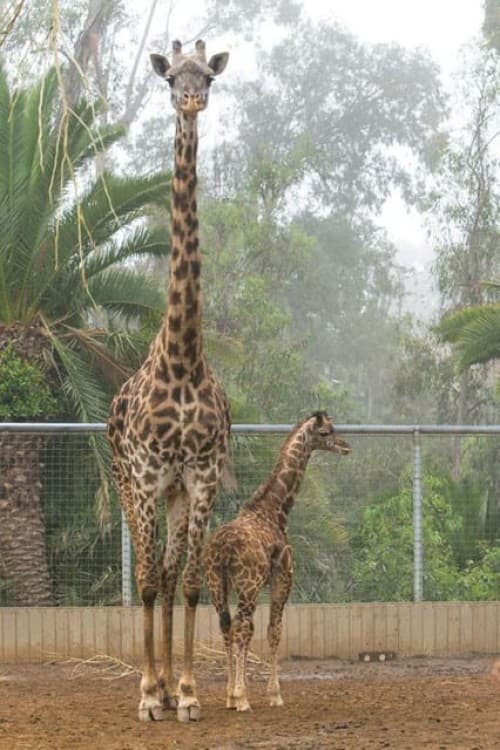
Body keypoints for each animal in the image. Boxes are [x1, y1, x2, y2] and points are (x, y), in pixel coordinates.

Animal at [203, 412, 351, 712]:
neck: (275, 511)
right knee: (241, 627)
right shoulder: (283, 578)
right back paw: (241, 698)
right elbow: (274, 631)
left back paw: (230, 696)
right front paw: (274, 694)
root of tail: (223, 548)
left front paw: (239, 692)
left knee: (227, 625)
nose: (346, 446)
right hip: (247, 586)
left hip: (216, 584)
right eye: (326, 432)